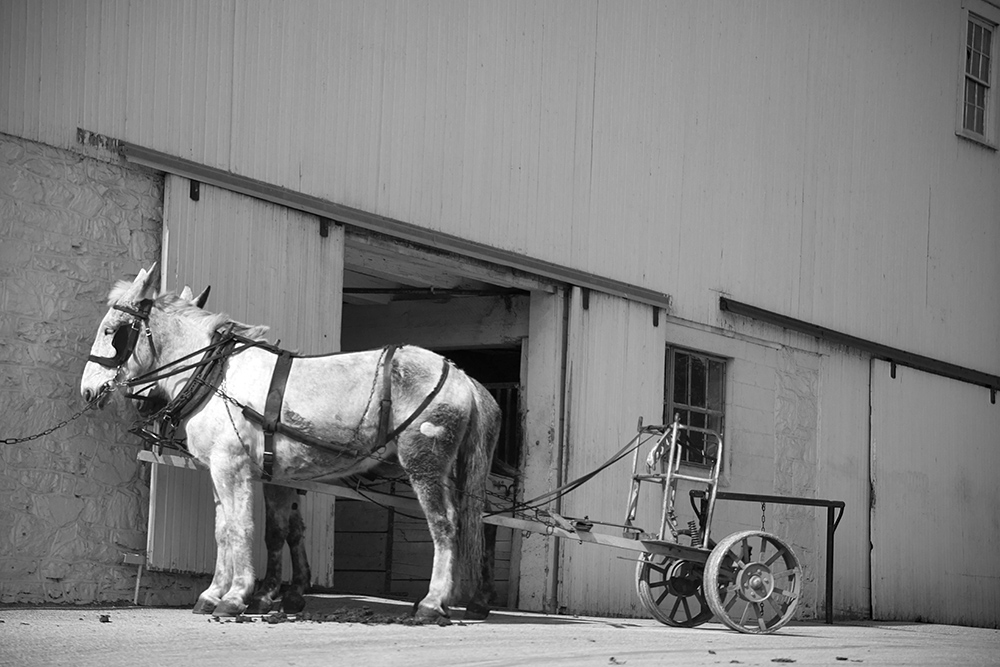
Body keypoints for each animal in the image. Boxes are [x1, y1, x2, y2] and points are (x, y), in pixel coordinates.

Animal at [80, 266, 500, 620]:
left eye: (112, 330)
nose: (87, 390)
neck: (215, 375)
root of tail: (461, 376)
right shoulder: (233, 472)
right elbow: (228, 530)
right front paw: (215, 594)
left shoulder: (233, 468)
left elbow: (241, 529)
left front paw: (236, 597)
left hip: (425, 462)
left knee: (445, 525)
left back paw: (432, 603)